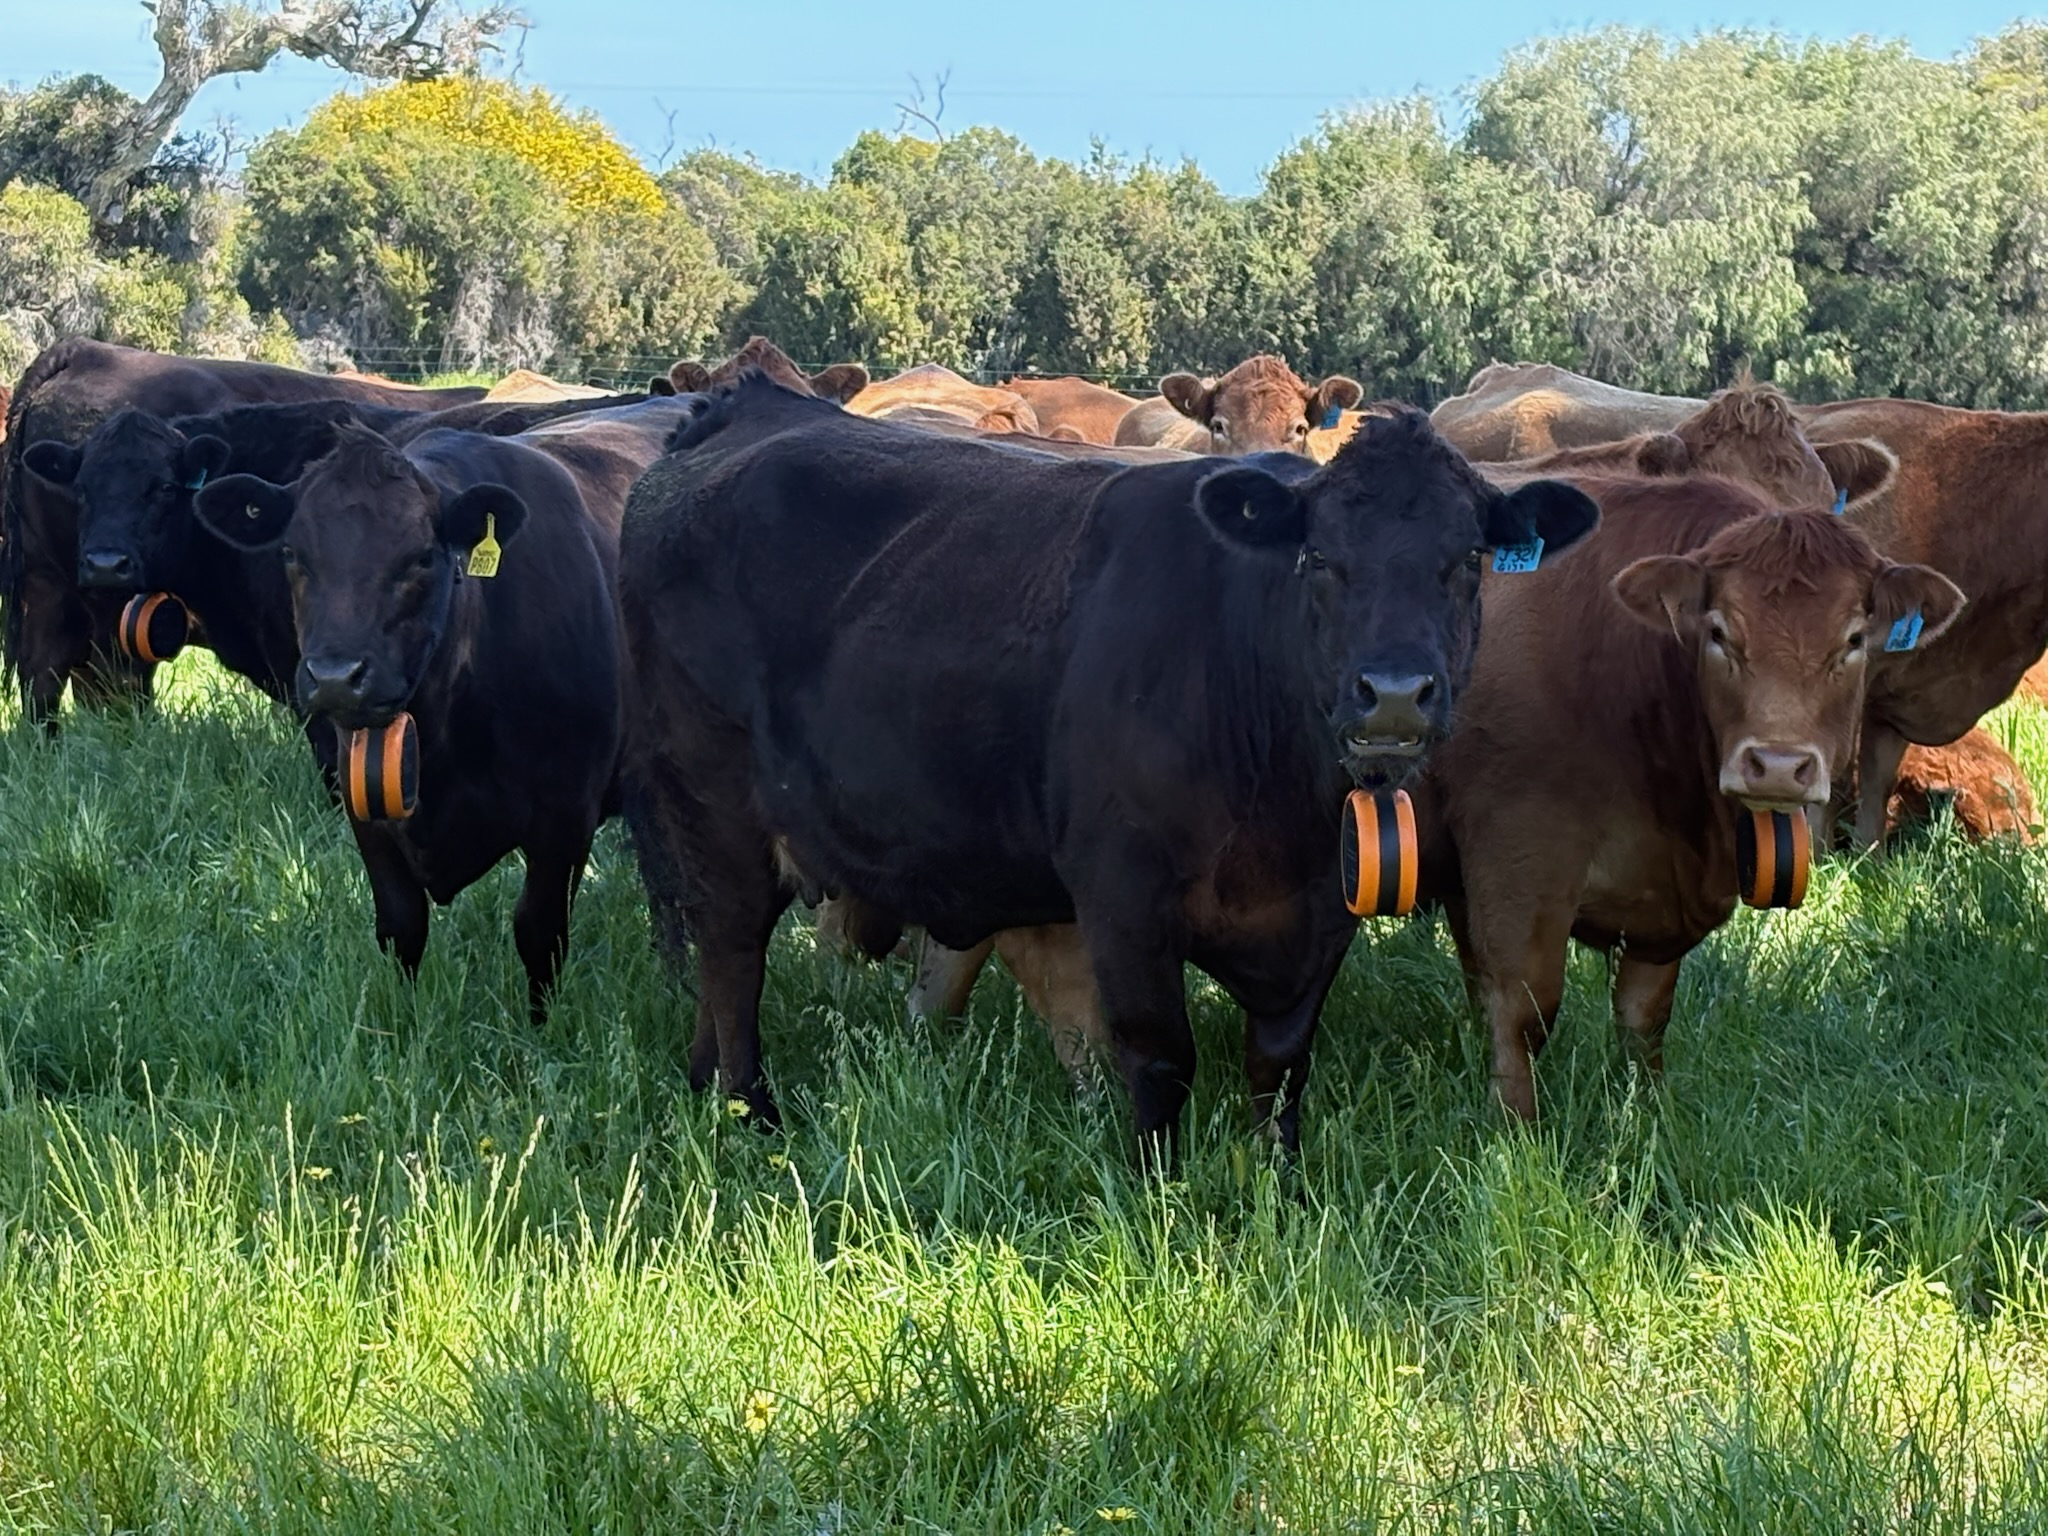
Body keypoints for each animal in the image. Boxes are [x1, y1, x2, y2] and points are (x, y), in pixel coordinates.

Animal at [2, 339, 486, 726]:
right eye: (82, 489)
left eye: (165, 488)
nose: (105, 563)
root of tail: (86, 349)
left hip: (50, 589)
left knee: (46, 682)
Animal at [189, 420, 627, 1019]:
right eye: (291, 552)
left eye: (420, 558)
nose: (334, 676)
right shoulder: (364, 806)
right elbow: (400, 926)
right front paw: (404, 1025)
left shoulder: (568, 812)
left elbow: (539, 933)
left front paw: (540, 1031)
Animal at [1416, 484, 1963, 1119]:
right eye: (1719, 632)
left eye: (1852, 641)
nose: (1778, 765)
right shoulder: (1517, 858)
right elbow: (1522, 1009)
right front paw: (1514, 1129)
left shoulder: (1661, 909)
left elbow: (1644, 1017)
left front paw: (1649, 1115)